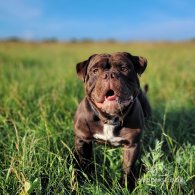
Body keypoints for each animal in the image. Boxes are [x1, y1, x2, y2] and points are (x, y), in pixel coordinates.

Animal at [73, 52, 151, 190]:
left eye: (124, 68)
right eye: (95, 71)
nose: (109, 74)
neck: (109, 118)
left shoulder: (132, 145)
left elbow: (128, 168)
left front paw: (125, 187)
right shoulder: (82, 140)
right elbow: (84, 162)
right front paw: (83, 180)